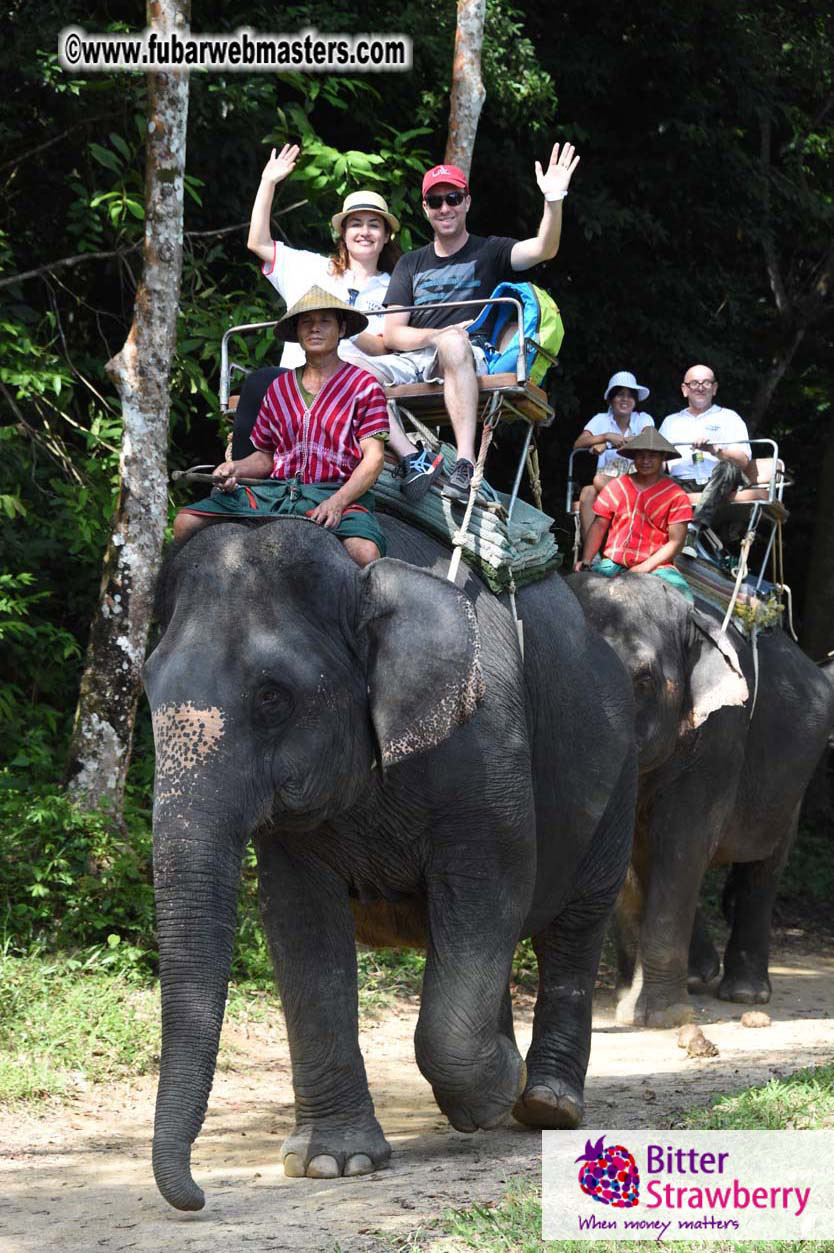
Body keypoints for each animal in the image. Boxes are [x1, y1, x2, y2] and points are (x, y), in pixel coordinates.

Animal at [143, 515, 637, 1211]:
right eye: (146, 688)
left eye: (271, 698)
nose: (196, 1196)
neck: (360, 579)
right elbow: (299, 923)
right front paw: (333, 1163)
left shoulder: (486, 743)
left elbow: (490, 889)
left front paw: (495, 1092)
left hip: (621, 776)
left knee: (574, 928)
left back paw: (546, 1104)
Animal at [569, 572, 834, 1028]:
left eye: (643, 682)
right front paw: (627, 1008)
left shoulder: (720, 733)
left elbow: (682, 844)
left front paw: (660, 1017)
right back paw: (697, 977)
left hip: (793, 782)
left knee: (763, 866)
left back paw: (745, 993)